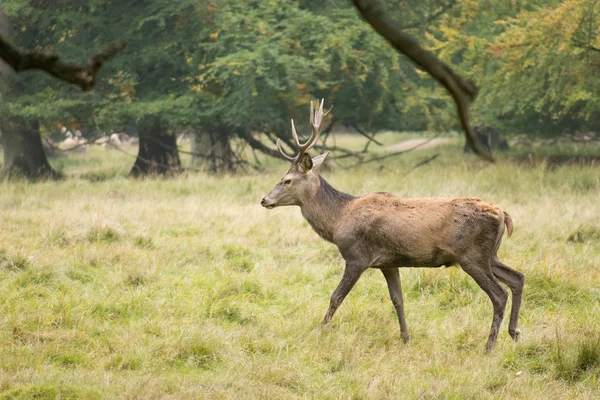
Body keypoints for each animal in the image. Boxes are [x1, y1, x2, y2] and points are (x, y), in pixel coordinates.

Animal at [260, 99, 524, 350]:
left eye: (287, 180)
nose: (264, 200)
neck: (339, 220)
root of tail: (503, 214)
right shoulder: (388, 263)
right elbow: (398, 300)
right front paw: (406, 339)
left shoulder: (357, 257)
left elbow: (336, 296)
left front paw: (318, 331)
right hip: (489, 255)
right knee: (517, 277)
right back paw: (515, 333)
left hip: (471, 255)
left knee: (499, 294)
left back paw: (489, 346)